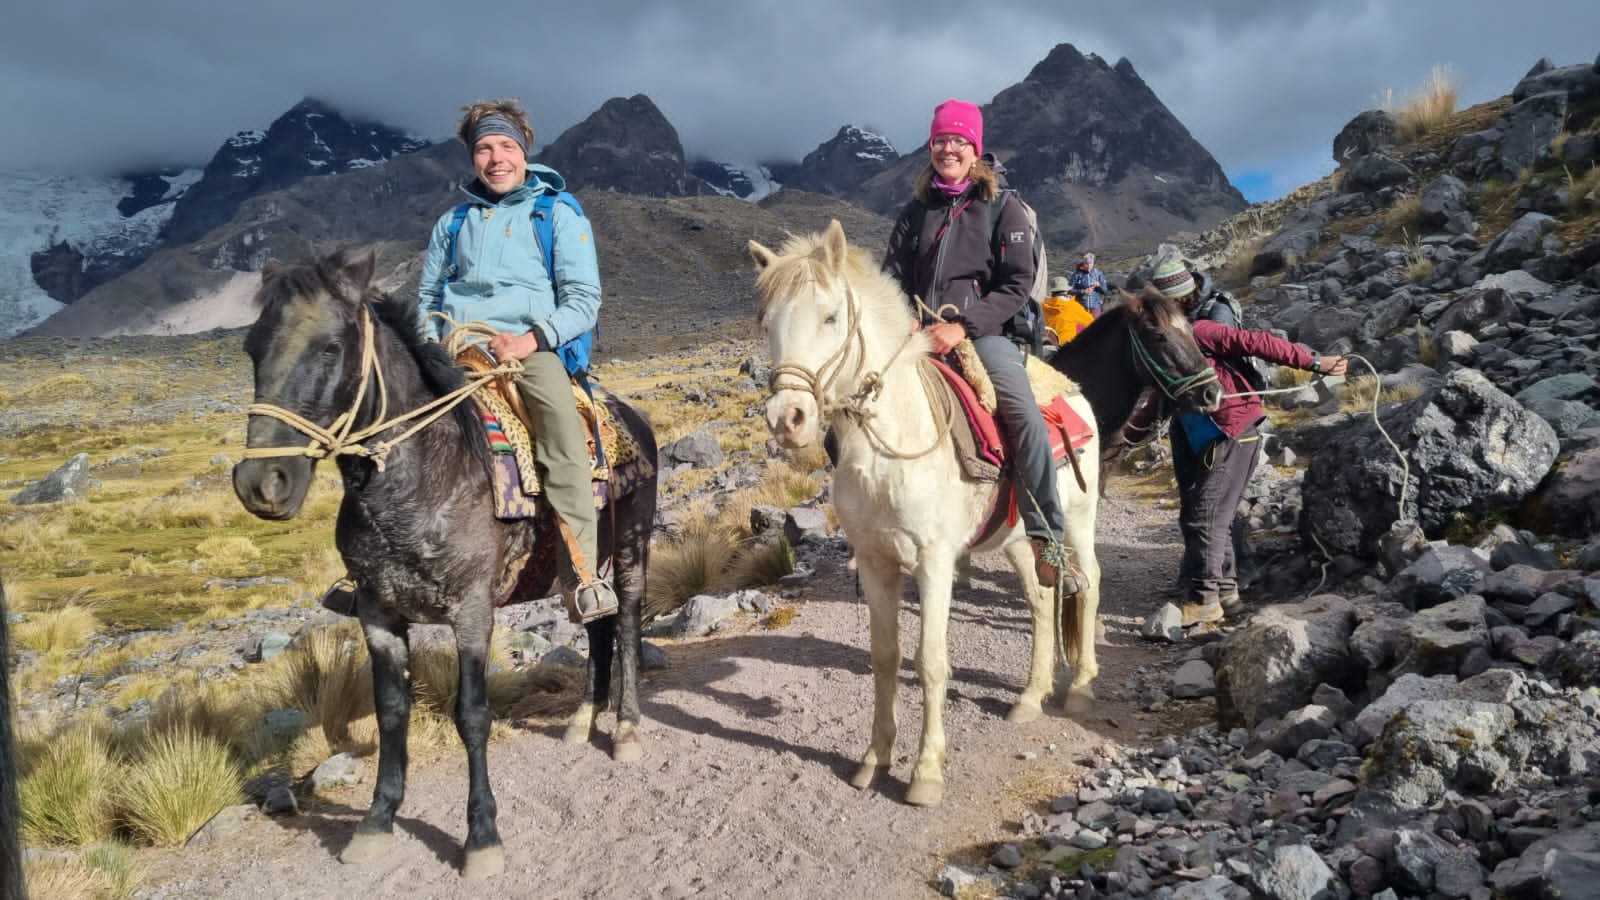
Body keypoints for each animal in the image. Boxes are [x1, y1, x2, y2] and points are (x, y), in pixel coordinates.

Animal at [231, 248, 658, 878]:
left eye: (330, 347)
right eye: (252, 347)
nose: (261, 482)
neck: (421, 477)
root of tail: (635, 419)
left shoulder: (472, 610)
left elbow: (472, 715)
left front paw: (481, 837)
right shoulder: (378, 615)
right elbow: (390, 712)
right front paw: (376, 821)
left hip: (630, 545)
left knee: (625, 620)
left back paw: (625, 728)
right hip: (576, 566)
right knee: (597, 623)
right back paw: (582, 721)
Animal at [749, 221, 1217, 806]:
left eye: (831, 316)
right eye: (768, 321)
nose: (787, 418)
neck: (890, 447)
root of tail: (1074, 394)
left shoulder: (933, 562)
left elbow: (930, 662)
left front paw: (926, 772)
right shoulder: (877, 564)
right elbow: (885, 657)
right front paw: (874, 759)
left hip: (1078, 520)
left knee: (1087, 583)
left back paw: (1080, 686)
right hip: (1019, 539)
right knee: (1042, 601)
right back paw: (1031, 696)